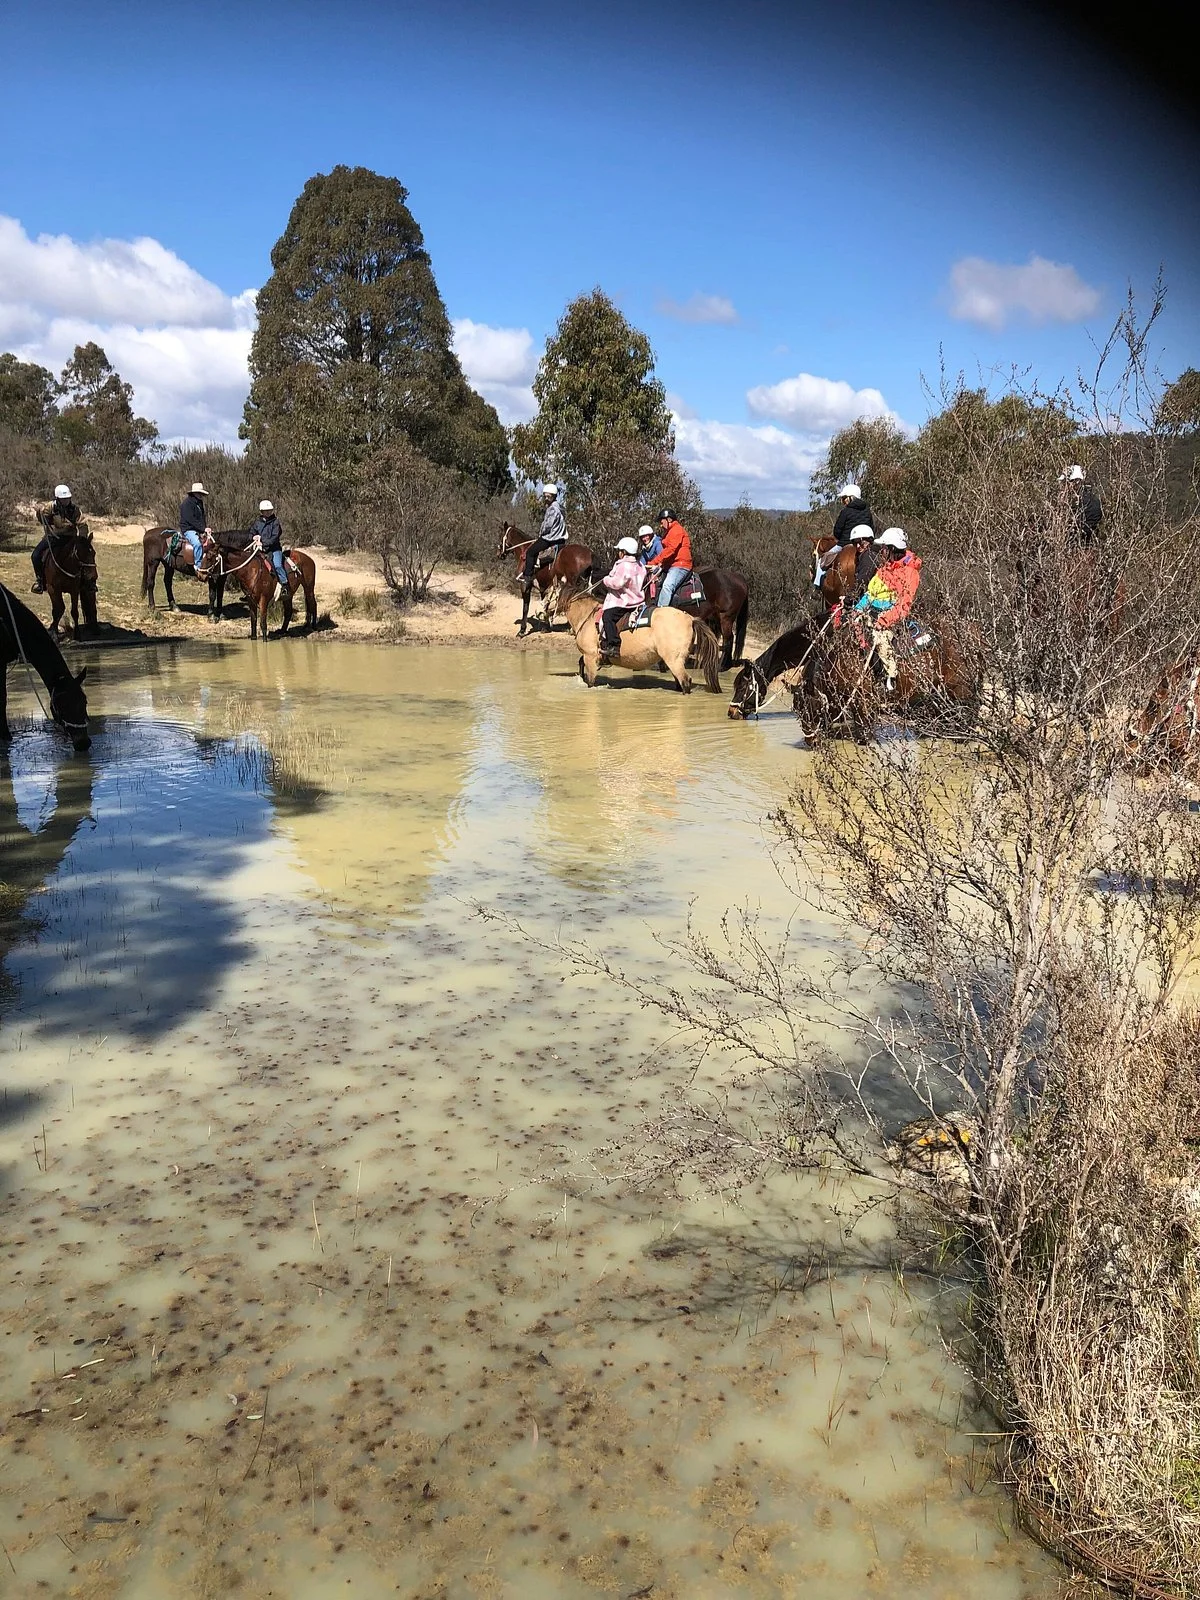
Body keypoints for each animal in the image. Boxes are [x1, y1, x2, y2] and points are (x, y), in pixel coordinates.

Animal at [564, 592, 722, 694]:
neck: (587, 617)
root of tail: (690, 619)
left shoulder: (590, 656)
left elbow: (590, 680)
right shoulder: (591, 655)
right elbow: (580, 662)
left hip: (674, 660)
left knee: (685, 681)